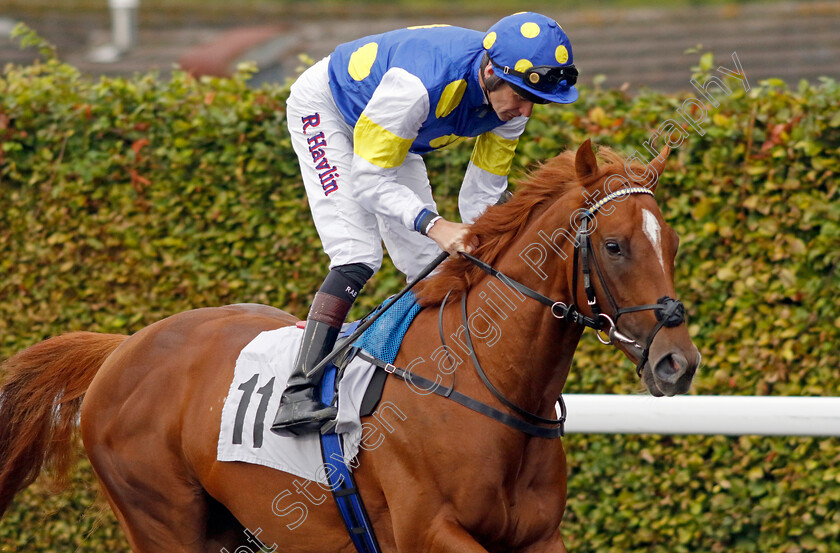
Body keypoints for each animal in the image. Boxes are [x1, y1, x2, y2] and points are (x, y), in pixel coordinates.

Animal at [0, 141, 696, 552]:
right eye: (614, 246)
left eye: (673, 243)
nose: (677, 363)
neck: (487, 382)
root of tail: (122, 350)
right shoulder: (429, 533)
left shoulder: (537, 538)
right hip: (163, 522)